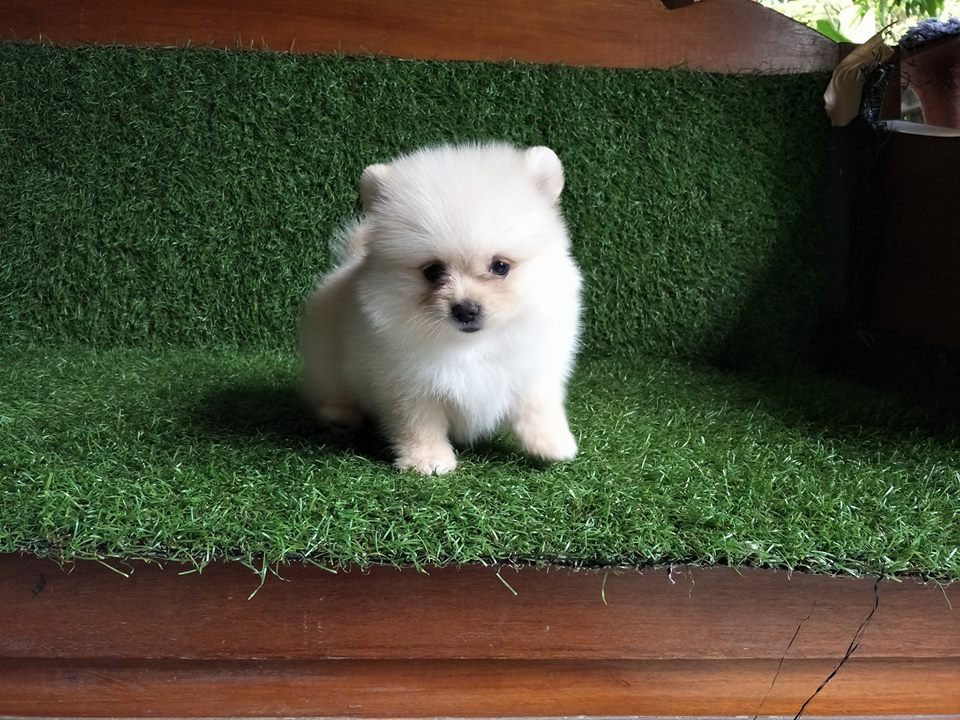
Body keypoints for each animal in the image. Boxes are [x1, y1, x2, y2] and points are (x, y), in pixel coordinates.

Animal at [300, 142, 582, 474]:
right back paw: (340, 417)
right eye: (433, 271)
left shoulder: (534, 367)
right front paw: (428, 460)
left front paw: (553, 443)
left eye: (500, 267)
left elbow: (537, 405)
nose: (466, 309)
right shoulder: (407, 385)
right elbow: (419, 424)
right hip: (327, 359)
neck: (470, 345)